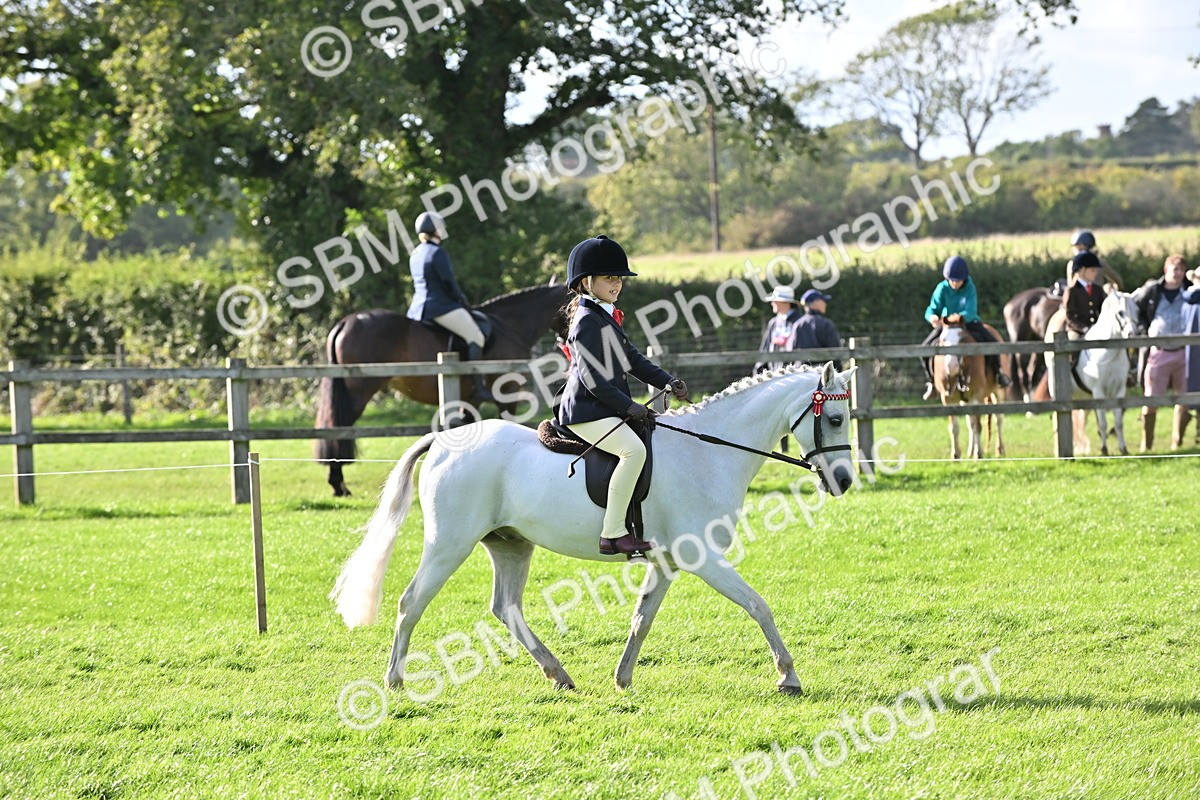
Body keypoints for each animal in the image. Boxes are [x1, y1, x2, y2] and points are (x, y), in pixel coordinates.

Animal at [315, 283, 570, 496]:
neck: (510, 326)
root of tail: (345, 322)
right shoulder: (508, 392)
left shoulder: (470, 401)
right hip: (358, 392)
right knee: (339, 428)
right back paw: (338, 484)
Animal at [330, 362, 857, 696]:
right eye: (833, 418)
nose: (845, 482)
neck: (709, 452)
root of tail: (443, 438)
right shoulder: (705, 559)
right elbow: (758, 606)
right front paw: (788, 677)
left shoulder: (668, 562)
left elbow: (642, 618)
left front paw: (622, 678)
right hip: (449, 544)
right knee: (411, 602)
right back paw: (394, 681)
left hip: (510, 545)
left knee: (506, 608)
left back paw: (558, 673)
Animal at [931, 324, 1006, 459]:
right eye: (943, 339)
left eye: (962, 339)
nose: (951, 366)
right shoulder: (948, 400)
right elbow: (955, 427)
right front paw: (956, 455)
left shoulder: (976, 397)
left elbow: (977, 425)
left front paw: (979, 453)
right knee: (969, 422)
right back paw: (970, 451)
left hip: (998, 392)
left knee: (999, 419)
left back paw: (1000, 449)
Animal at [1041, 288, 1140, 456]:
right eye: (1120, 313)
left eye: (1136, 311)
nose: (1132, 334)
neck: (1106, 351)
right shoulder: (1099, 392)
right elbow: (1103, 423)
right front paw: (1104, 450)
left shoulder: (1119, 391)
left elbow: (1118, 422)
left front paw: (1123, 449)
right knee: (1058, 419)